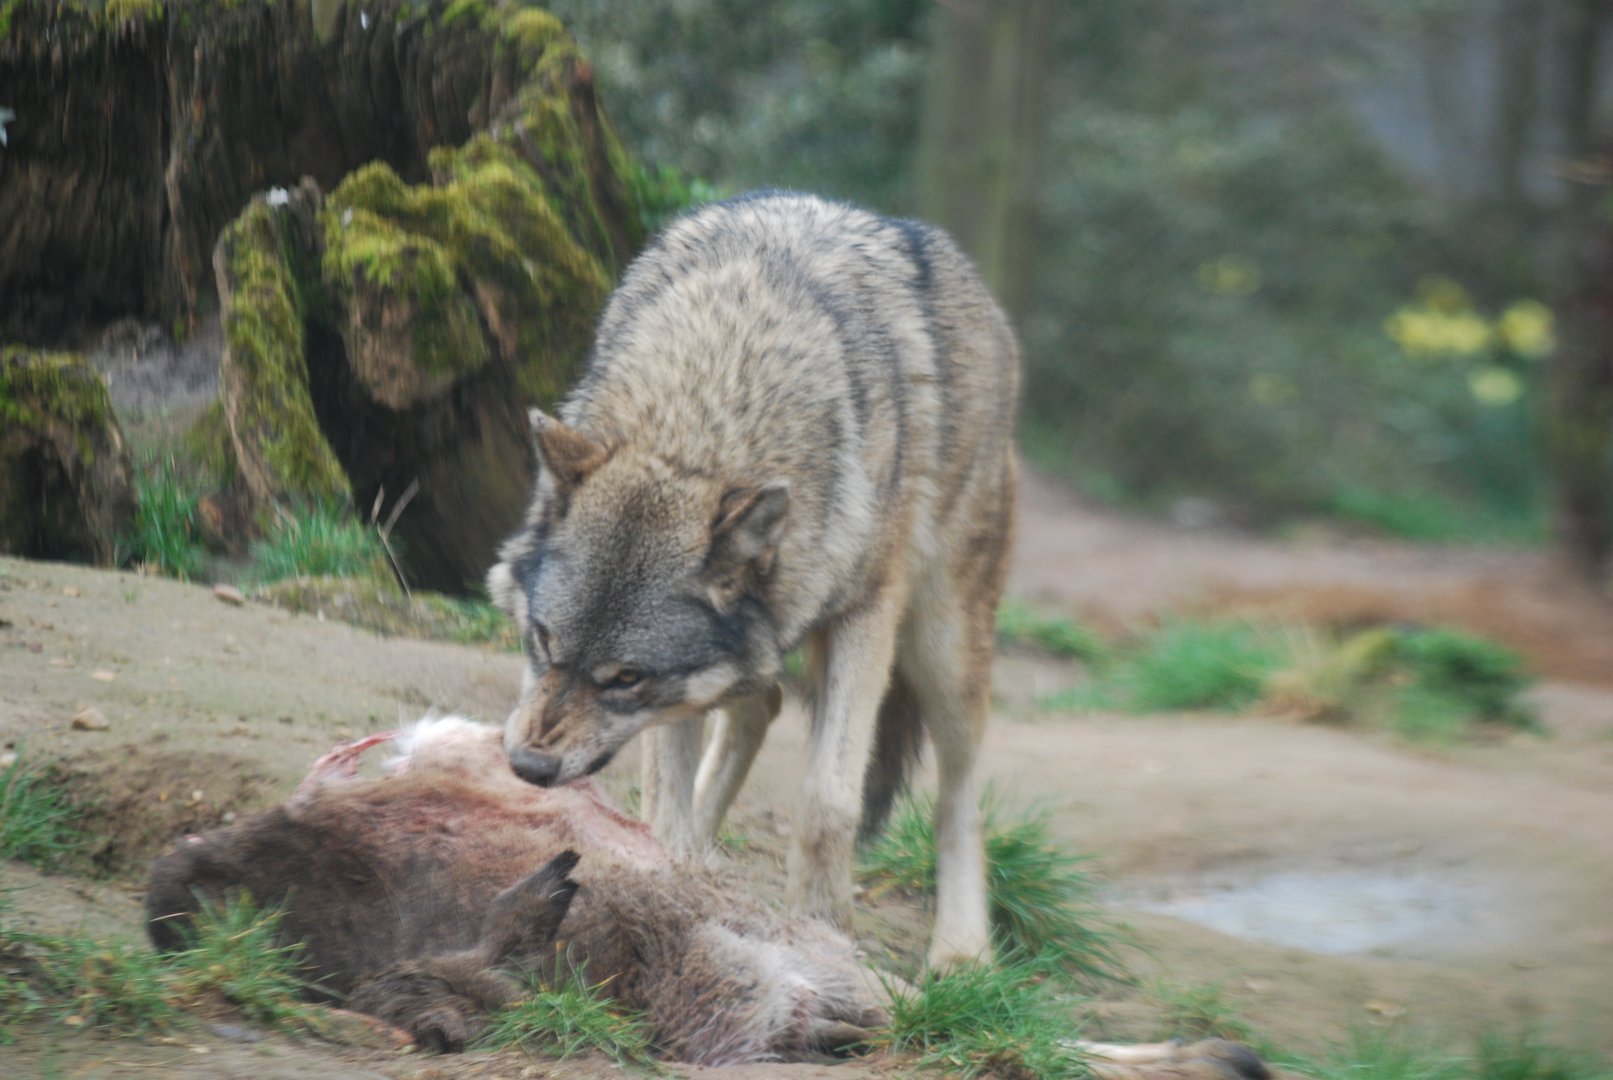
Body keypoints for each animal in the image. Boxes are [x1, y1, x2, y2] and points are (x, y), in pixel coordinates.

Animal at [487, 191, 1020, 968]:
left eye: (625, 677)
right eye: (542, 640)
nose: (527, 766)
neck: (704, 423)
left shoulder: (864, 616)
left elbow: (829, 801)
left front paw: (823, 928)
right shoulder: (673, 698)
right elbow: (664, 802)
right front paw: (673, 890)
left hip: (940, 647)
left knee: (959, 794)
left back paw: (962, 951)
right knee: (759, 703)